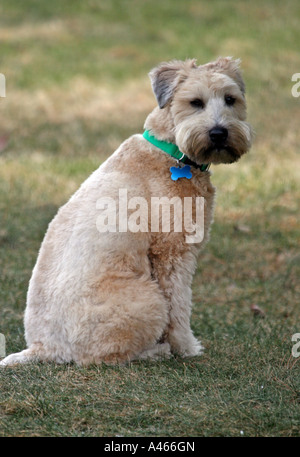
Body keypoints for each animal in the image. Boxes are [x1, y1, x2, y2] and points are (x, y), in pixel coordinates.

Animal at [0, 57, 252, 366]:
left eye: (231, 99)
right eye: (195, 102)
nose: (219, 133)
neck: (172, 151)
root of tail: (43, 347)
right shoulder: (173, 253)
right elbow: (179, 307)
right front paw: (186, 348)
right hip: (147, 299)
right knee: (105, 357)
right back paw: (156, 351)